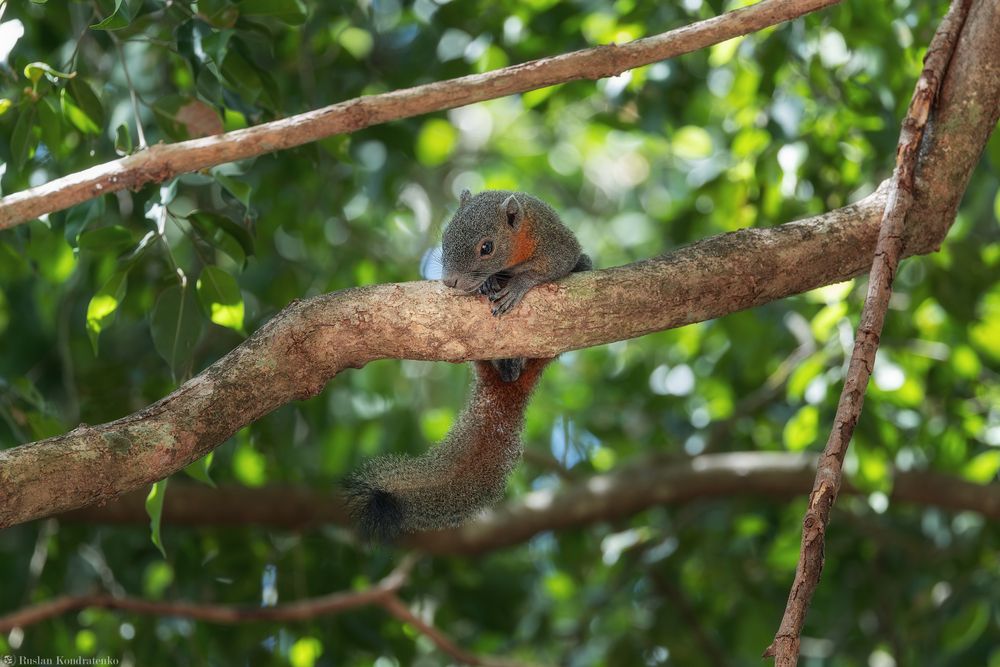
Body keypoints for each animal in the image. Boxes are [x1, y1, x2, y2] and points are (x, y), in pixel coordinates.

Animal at [441, 190, 592, 382]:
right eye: (445, 236)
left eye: (487, 247)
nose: (449, 281)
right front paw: (488, 281)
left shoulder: (554, 241)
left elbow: (560, 263)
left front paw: (516, 287)